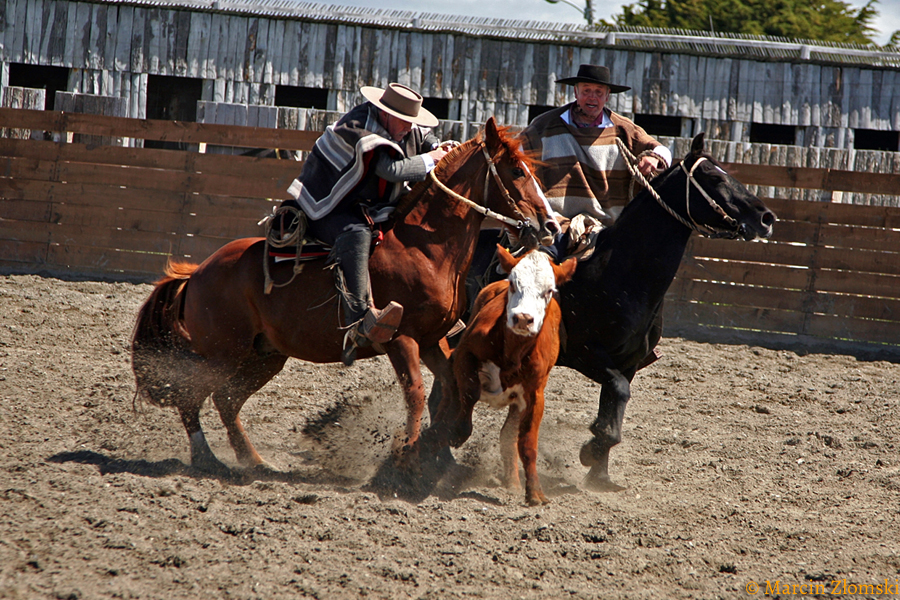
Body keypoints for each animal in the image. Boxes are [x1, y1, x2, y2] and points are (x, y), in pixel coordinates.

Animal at [132, 116, 556, 474]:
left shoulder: (431, 339)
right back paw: (206, 458)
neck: (422, 246)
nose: (551, 224)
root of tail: (199, 271)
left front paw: (444, 443)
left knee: (226, 400)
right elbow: (417, 394)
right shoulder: (401, 340)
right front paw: (407, 454)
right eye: (517, 170)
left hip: (263, 355)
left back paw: (253, 460)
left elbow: (451, 386)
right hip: (221, 353)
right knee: (192, 398)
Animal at [428, 246, 576, 504]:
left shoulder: (535, 395)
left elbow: (527, 443)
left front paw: (535, 492)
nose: (523, 319)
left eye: (548, 290)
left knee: (508, 436)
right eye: (513, 283)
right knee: (446, 403)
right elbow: (468, 393)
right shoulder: (464, 354)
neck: (512, 353)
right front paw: (456, 433)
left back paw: (513, 482)